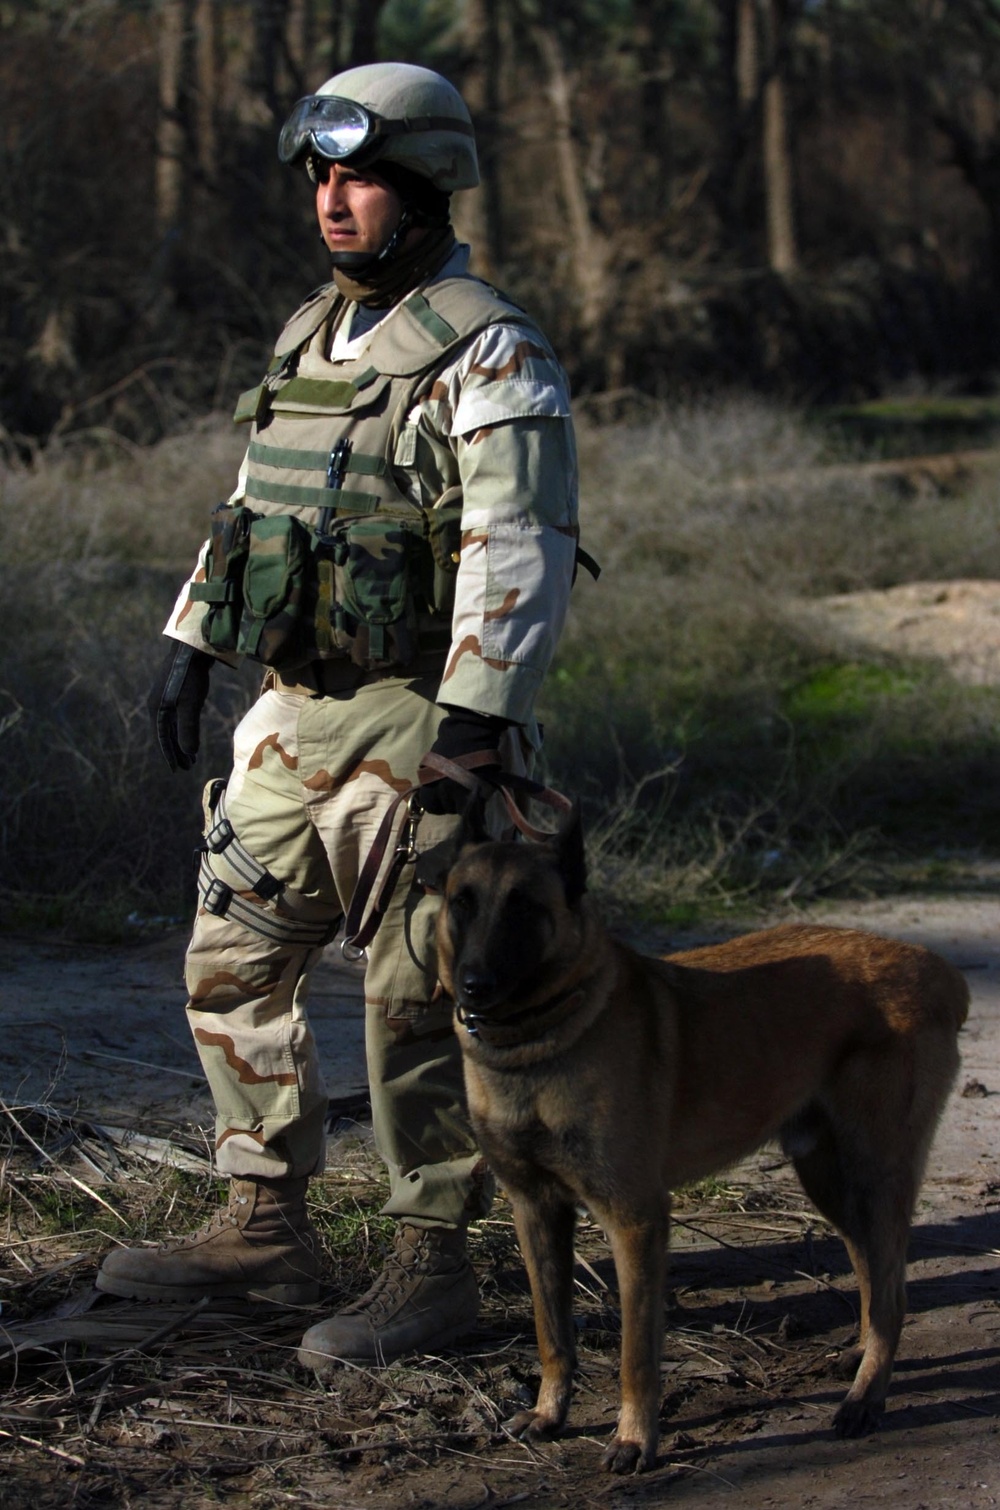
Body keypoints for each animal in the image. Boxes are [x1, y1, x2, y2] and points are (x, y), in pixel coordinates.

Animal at [438, 815, 972, 1473]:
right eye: (462, 903)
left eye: (523, 908)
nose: (474, 985)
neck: (539, 1043)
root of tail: (937, 969)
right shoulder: (536, 1212)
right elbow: (551, 1332)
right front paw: (548, 1414)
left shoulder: (636, 1220)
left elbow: (636, 1355)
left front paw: (634, 1439)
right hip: (832, 1184)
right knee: (878, 1276)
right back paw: (861, 1360)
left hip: (877, 1178)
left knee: (894, 1292)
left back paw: (865, 1399)